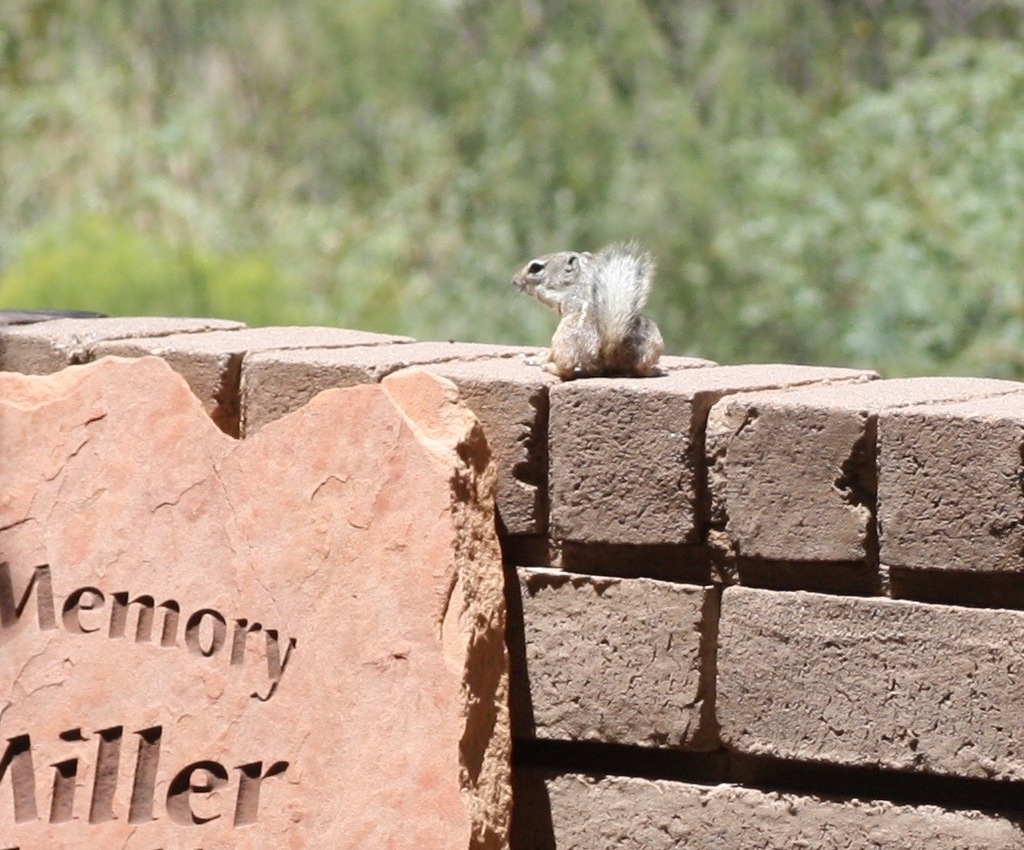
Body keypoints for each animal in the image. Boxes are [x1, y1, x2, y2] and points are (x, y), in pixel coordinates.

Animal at [511, 241, 664, 379]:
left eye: (535, 268)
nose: (514, 280)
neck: (580, 280)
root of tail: (610, 350)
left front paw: (539, 358)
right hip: (654, 342)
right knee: (640, 370)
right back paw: (654, 370)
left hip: (563, 335)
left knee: (566, 369)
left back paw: (550, 367)